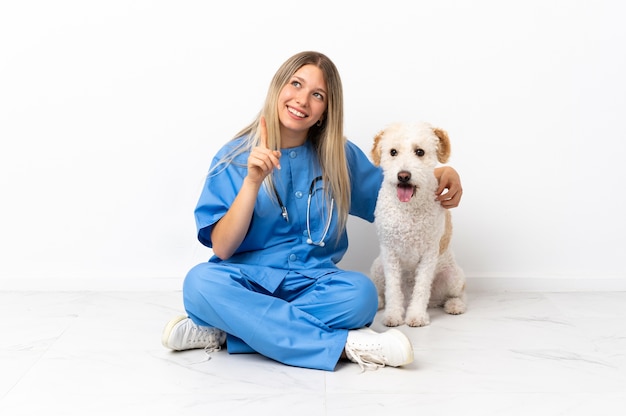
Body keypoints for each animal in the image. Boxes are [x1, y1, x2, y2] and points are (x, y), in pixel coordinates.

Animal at [370, 122, 464, 326]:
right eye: (393, 152)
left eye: (419, 152)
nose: (403, 176)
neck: (408, 209)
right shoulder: (390, 254)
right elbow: (392, 290)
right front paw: (393, 315)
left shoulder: (428, 254)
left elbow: (421, 288)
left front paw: (416, 316)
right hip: (377, 267)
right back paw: (378, 301)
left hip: (453, 276)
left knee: (459, 294)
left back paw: (455, 305)